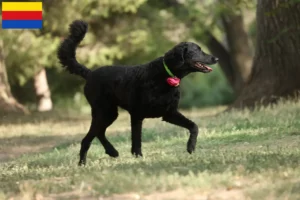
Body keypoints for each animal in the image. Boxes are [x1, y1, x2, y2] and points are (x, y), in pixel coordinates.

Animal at [57, 19, 219, 166]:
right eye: (197, 50)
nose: (216, 58)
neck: (165, 75)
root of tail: (90, 73)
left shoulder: (169, 113)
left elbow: (194, 126)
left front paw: (190, 146)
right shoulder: (137, 115)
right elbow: (136, 140)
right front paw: (139, 158)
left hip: (109, 113)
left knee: (99, 132)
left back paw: (111, 151)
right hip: (104, 111)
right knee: (88, 138)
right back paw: (83, 163)